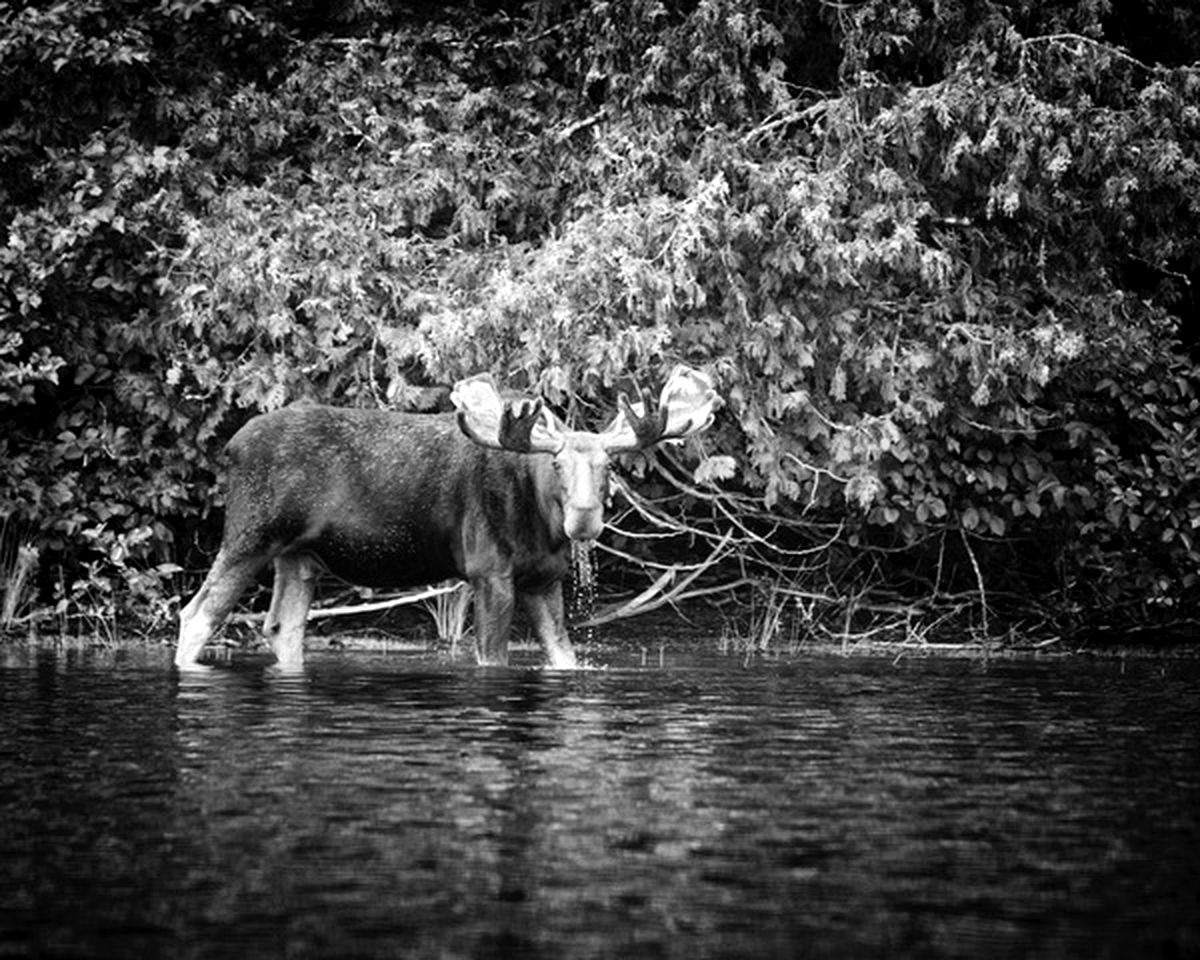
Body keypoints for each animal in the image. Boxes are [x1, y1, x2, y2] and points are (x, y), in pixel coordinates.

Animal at [174, 364, 715, 672]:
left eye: (609, 468)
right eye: (557, 465)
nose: (583, 521)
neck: (540, 524)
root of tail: (231, 447)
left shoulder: (545, 579)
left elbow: (564, 657)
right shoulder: (488, 571)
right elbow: (491, 658)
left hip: (300, 555)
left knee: (282, 628)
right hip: (251, 535)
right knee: (197, 614)